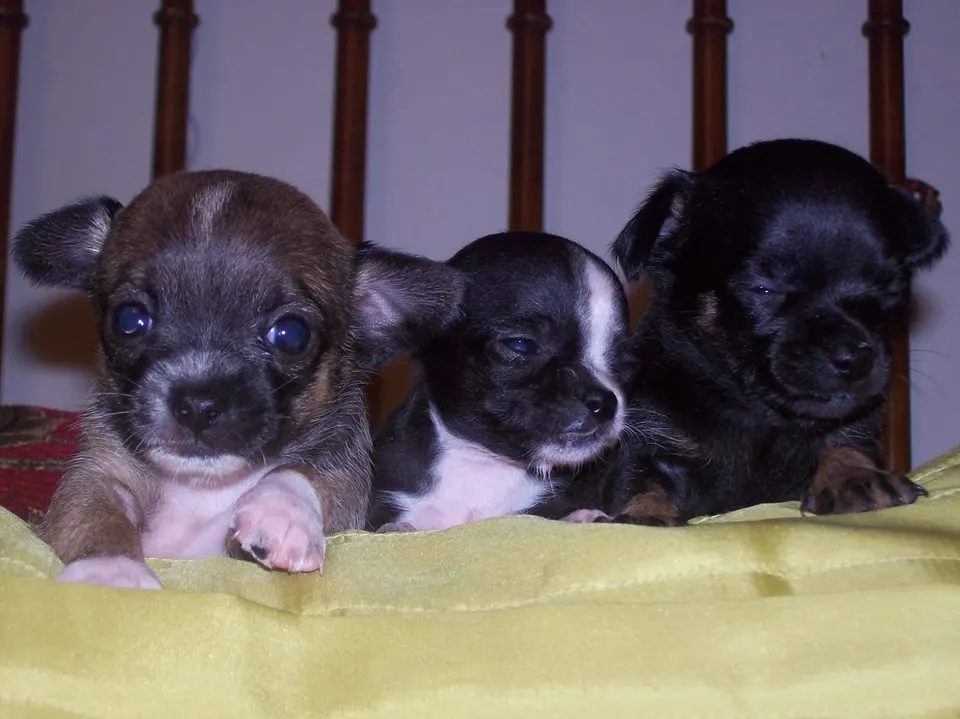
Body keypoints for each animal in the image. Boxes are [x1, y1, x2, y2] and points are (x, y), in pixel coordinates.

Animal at [13, 170, 464, 592]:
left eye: (291, 334)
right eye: (129, 320)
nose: (197, 404)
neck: (201, 487)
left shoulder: (346, 483)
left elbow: (310, 473)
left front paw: (281, 511)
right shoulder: (98, 474)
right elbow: (95, 512)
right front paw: (110, 570)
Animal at [368, 232, 632, 536]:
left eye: (625, 363)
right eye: (521, 345)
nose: (606, 402)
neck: (484, 466)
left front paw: (581, 518)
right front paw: (396, 529)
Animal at [596, 139, 948, 524]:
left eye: (890, 289)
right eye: (765, 289)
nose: (852, 357)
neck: (755, 414)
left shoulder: (854, 426)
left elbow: (844, 442)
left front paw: (855, 476)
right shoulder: (651, 441)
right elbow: (640, 482)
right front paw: (644, 516)